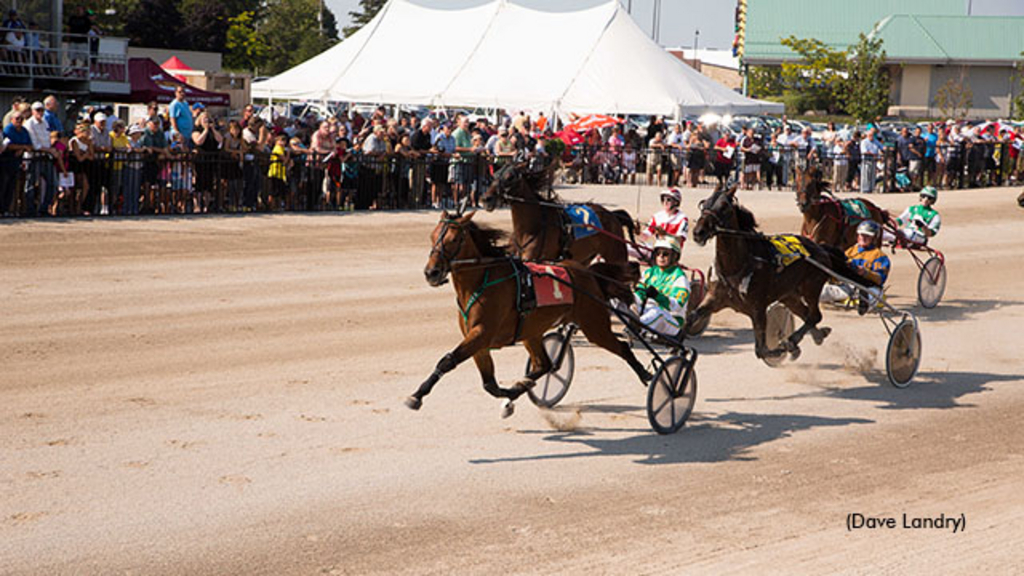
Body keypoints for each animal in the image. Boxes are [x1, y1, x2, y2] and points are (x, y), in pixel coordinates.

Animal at [405, 208, 651, 414]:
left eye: (454, 239)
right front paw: (510, 395)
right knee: (545, 365)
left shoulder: (481, 333)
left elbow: (448, 361)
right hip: (531, 332)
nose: (431, 272)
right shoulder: (477, 340)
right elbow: (489, 384)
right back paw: (523, 385)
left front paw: (416, 396)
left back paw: (647, 375)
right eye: (432, 236)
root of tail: (589, 274)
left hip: (594, 325)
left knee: (622, 348)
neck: (482, 280)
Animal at [477, 157, 634, 264]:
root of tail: (613, 215)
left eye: (510, 177)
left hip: (616, 255)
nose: (486, 199)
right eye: (494, 175)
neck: (531, 228)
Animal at [684, 182, 876, 358]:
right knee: (807, 314)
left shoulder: (758, 308)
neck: (738, 266)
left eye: (724, 207)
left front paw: (781, 347)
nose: (698, 232)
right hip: (789, 295)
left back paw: (792, 341)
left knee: (814, 316)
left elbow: (761, 350)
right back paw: (818, 335)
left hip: (811, 287)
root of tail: (820, 248)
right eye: (704, 203)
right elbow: (690, 318)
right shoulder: (714, 298)